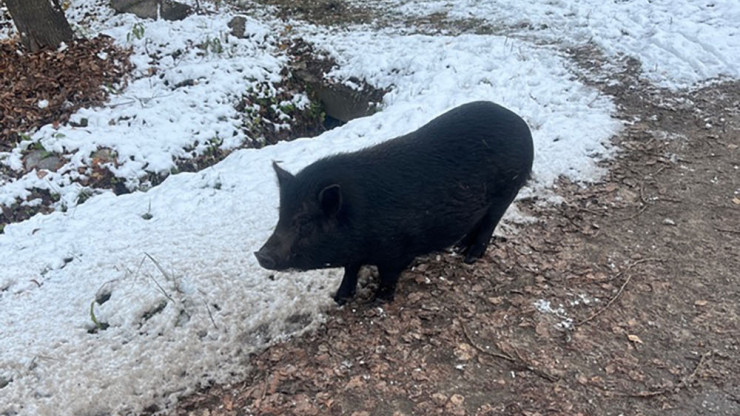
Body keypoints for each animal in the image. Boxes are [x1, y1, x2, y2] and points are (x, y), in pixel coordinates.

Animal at [254, 99, 532, 304]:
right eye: (281, 215)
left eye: (305, 221)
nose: (261, 254)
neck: (358, 216)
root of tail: (521, 124)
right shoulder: (356, 253)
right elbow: (350, 270)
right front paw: (340, 298)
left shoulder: (397, 250)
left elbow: (388, 275)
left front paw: (377, 301)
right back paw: (459, 247)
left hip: (507, 191)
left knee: (489, 225)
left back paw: (469, 257)